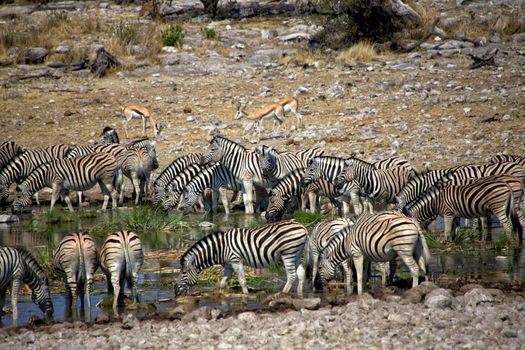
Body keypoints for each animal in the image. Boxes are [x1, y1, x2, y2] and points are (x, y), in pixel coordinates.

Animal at [174, 221, 310, 296]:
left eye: (184, 273)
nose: (175, 291)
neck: (220, 248)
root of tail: (302, 227)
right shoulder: (229, 265)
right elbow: (223, 283)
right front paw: (221, 295)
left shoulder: (236, 261)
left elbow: (242, 281)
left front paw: (246, 295)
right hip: (296, 254)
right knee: (301, 273)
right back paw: (300, 294)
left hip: (288, 253)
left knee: (291, 275)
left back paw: (283, 293)